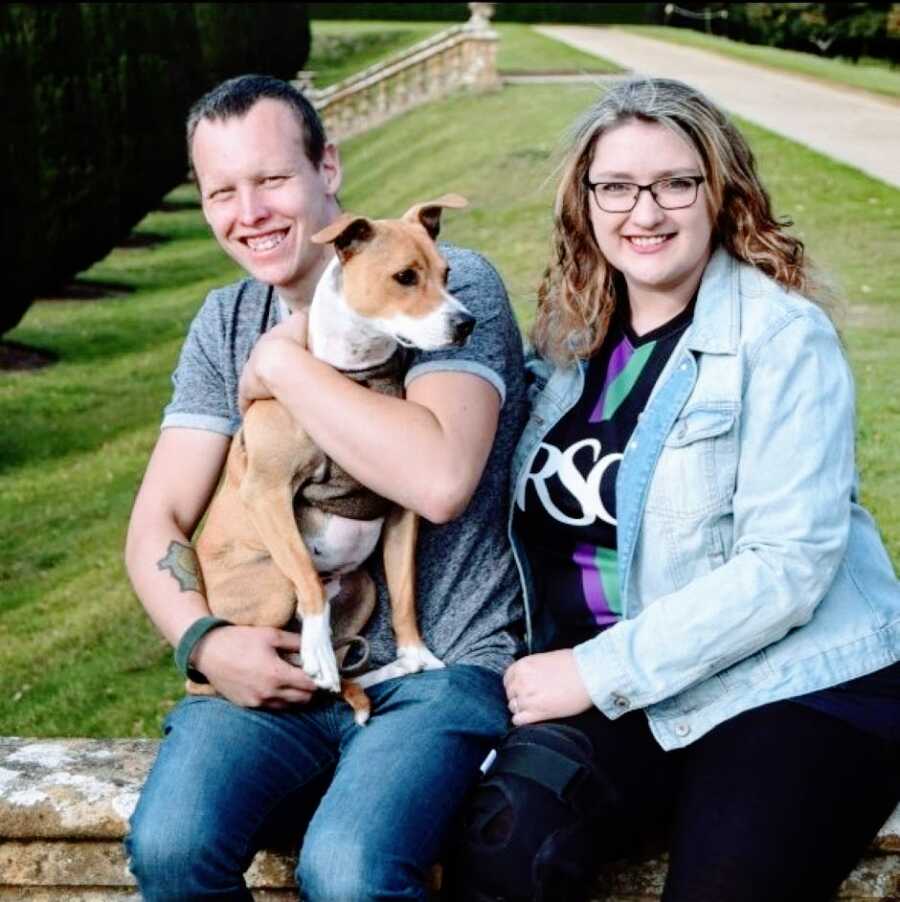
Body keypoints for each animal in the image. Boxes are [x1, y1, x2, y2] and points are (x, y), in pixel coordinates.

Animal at [192, 194, 474, 724]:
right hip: (272, 585)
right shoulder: (267, 492)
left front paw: (414, 654)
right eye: (405, 276)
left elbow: (405, 592)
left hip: (361, 586)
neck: (353, 371)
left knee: (340, 662)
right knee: (290, 647)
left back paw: (375, 677)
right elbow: (307, 577)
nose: (466, 323)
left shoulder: (401, 510)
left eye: (446, 273)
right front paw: (318, 650)